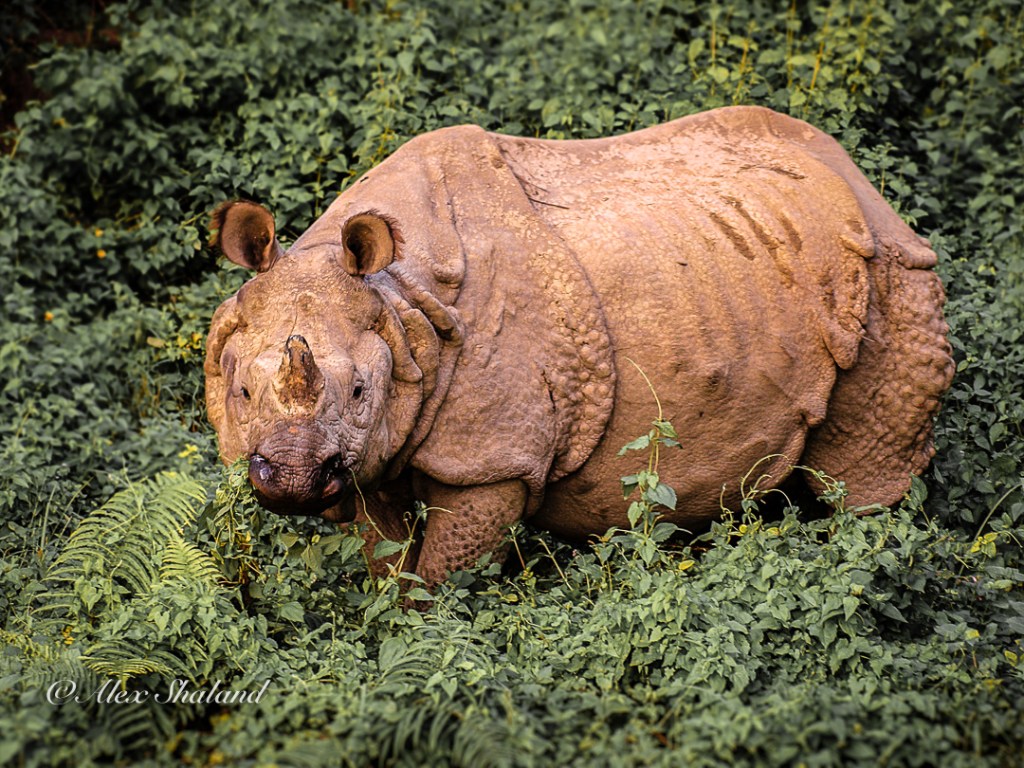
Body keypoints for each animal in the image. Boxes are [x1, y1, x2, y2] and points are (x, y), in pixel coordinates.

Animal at [205, 106, 954, 586]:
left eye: (360, 390)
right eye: (241, 391)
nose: (295, 479)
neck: (401, 306)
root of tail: (860, 179)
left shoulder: (494, 458)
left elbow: (444, 574)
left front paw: (423, 634)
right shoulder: (372, 451)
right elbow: (385, 556)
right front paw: (386, 621)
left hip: (891, 273)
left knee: (859, 488)